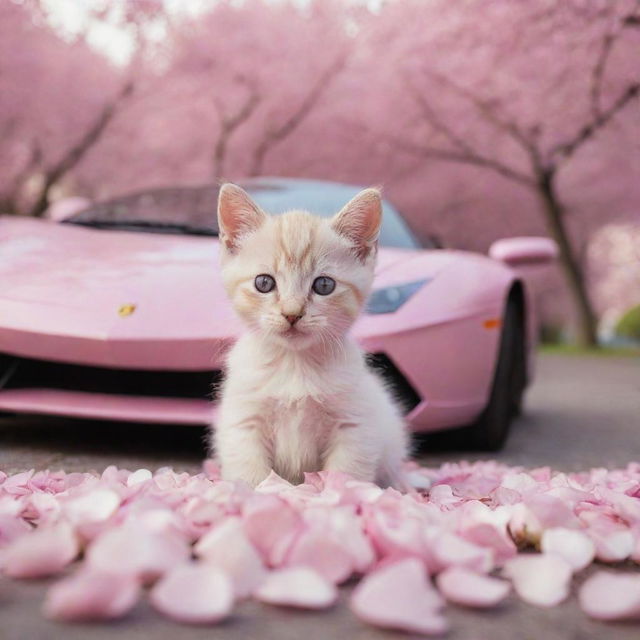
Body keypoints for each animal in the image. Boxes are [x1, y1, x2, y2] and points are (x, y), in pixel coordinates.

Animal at [210, 182, 410, 488]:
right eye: (264, 283)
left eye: (324, 285)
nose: (292, 314)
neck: (295, 364)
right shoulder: (243, 422)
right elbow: (249, 472)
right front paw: (255, 494)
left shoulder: (355, 425)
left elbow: (346, 474)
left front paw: (338, 494)